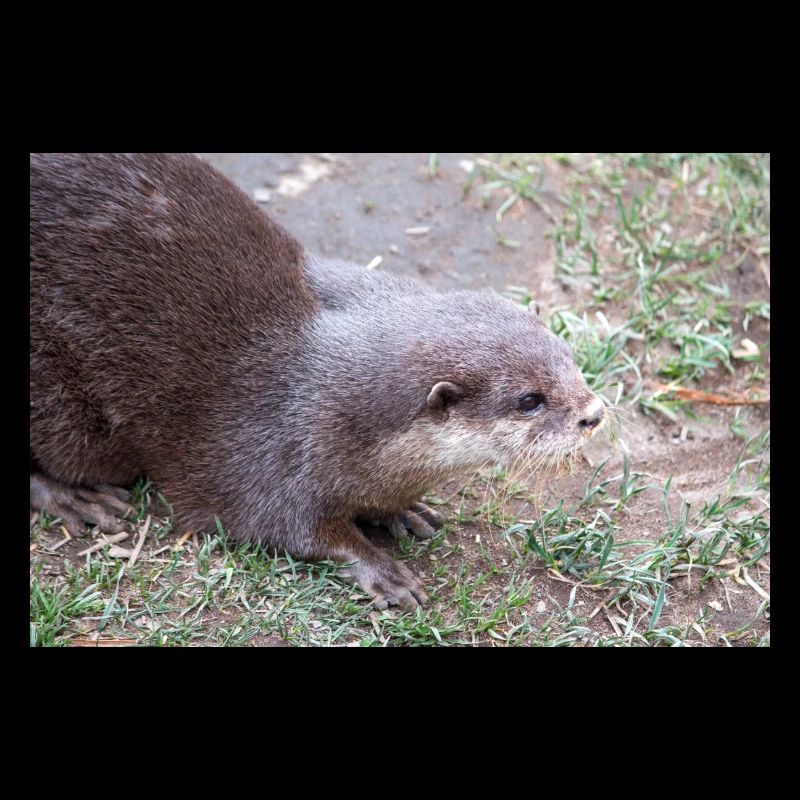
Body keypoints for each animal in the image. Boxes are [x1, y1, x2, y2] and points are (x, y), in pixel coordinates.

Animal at [30, 153, 605, 610]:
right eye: (529, 400)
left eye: (569, 356)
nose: (594, 413)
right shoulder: (267, 451)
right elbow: (287, 528)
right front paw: (381, 569)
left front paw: (403, 510)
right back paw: (75, 498)